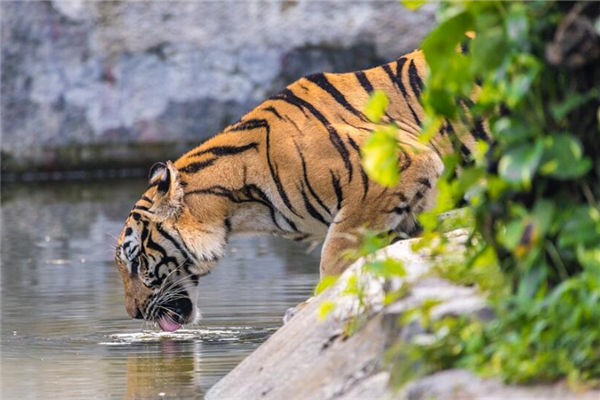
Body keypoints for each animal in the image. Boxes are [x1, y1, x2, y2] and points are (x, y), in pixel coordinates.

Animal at [113, 47, 488, 332]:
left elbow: (334, 253)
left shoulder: (396, 165)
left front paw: (310, 306)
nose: (133, 313)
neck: (242, 207)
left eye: (137, 262)